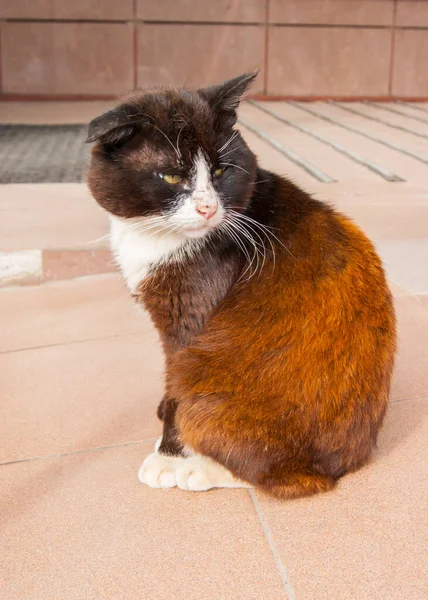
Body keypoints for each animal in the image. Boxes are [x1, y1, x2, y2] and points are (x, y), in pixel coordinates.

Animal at [87, 72, 398, 500]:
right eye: (172, 175)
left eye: (220, 172)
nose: (208, 208)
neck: (156, 238)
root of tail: (341, 466)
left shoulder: (188, 321)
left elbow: (174, 386)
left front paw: (170, 456)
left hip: (208, 380)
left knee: (283, 479)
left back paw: (201, 469)